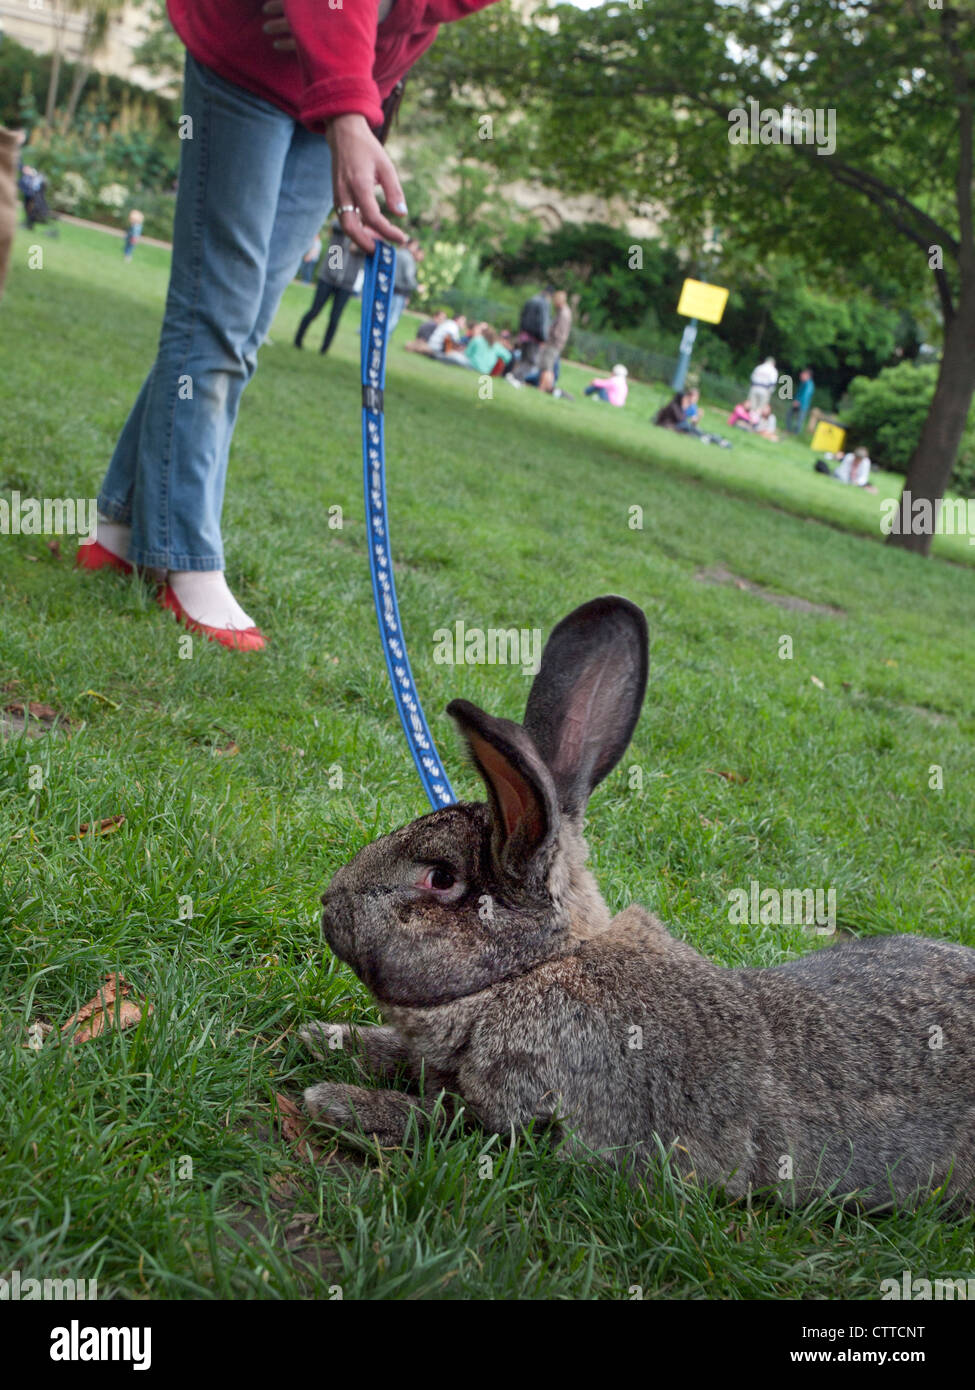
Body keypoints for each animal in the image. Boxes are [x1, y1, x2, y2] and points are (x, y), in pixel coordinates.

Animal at [301, 596, 975, 1207]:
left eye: (440, 878)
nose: (329, 902)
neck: (534, 970)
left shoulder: (535, 1120)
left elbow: (449, 1122)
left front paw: (334, 1101)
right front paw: (324, 1038)